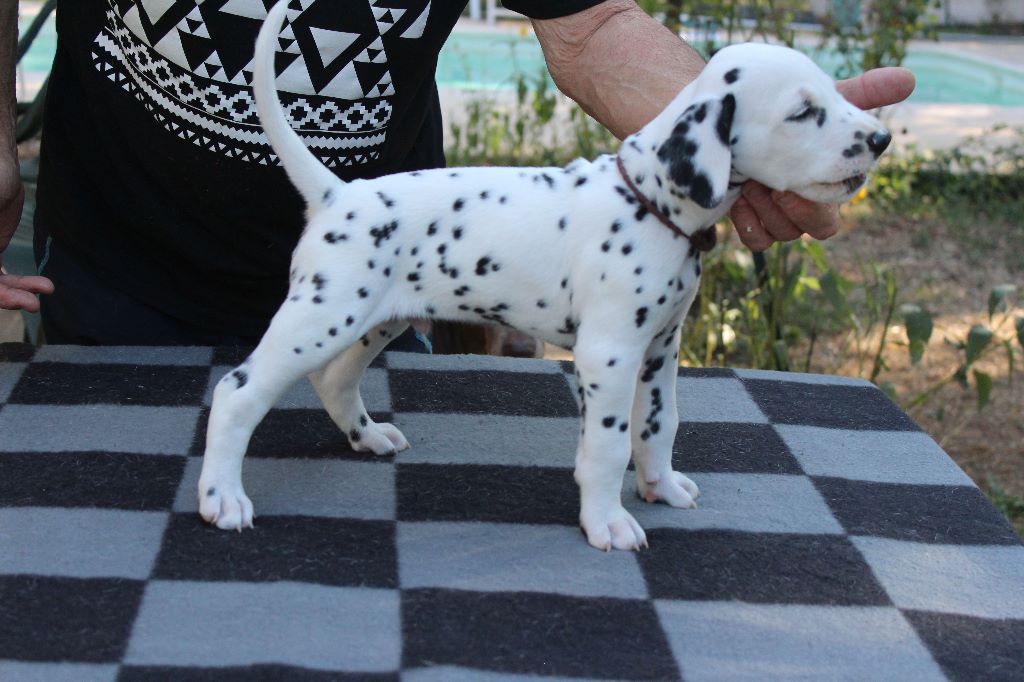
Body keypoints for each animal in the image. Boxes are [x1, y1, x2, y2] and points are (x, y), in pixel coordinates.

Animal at [198, 1, 891, 550]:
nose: (881, 138)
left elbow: (658, 426)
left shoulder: (660, 350)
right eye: (802, 112)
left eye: (832, 96)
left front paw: (661, 485)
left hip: (375, 319)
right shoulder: (609, 355)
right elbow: (609, 446)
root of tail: (338, 194)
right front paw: (607, 520)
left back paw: (366, 437)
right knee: (237, 391)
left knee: (334, 379)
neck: (649, 200)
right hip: (321, 316)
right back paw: (221, 496)